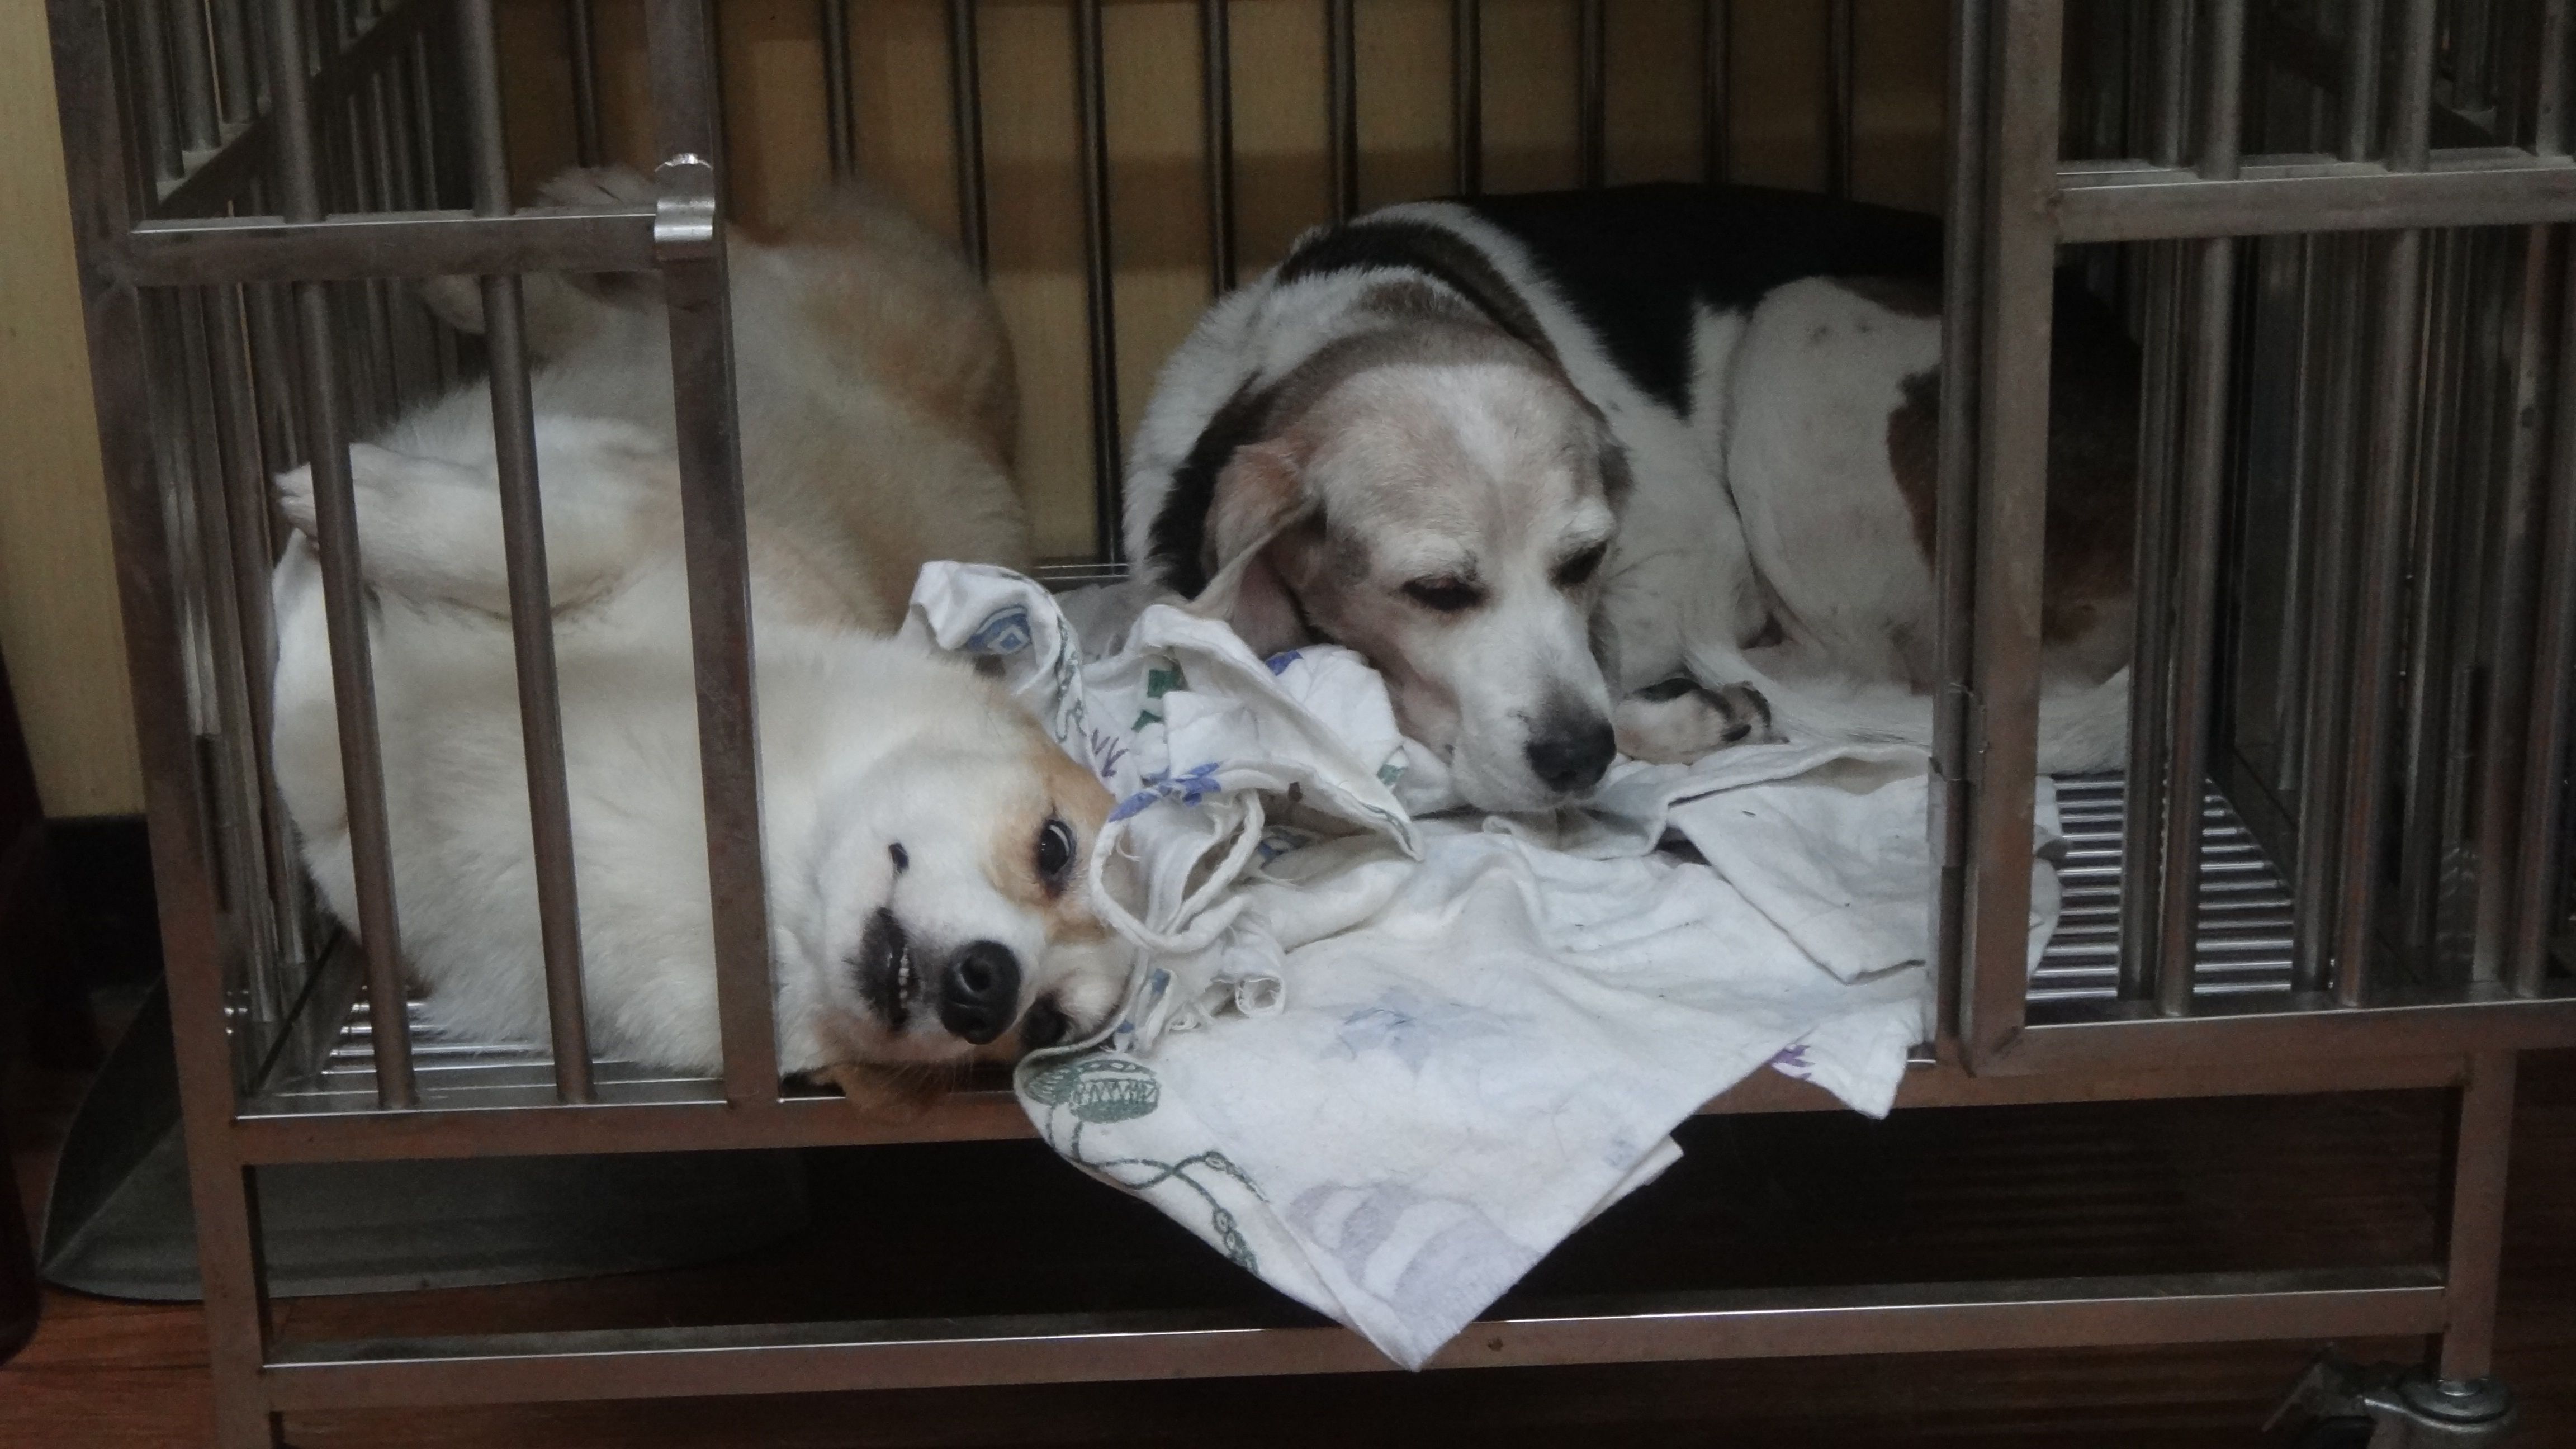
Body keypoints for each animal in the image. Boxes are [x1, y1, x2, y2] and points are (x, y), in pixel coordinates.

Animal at [270, 171, 1130, 1110]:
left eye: (1045, 1026)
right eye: (1054, 849)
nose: (991, 987)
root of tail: (990, 430)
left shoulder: (353, 850)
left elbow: (312, 727)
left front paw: (315, 580)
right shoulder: (642, 508)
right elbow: (504, 539)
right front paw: (347, 504)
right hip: (809, 307)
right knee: (706, 270)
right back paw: (571, 224)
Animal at [1124, 183, 2136, 813]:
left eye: (1584, 560)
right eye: (1435, 592)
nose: (1578, 759)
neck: (1364, 321)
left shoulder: (1697, 558)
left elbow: (1608, 658)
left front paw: (1682, 718)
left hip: (1797, 327)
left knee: (1854, 671)